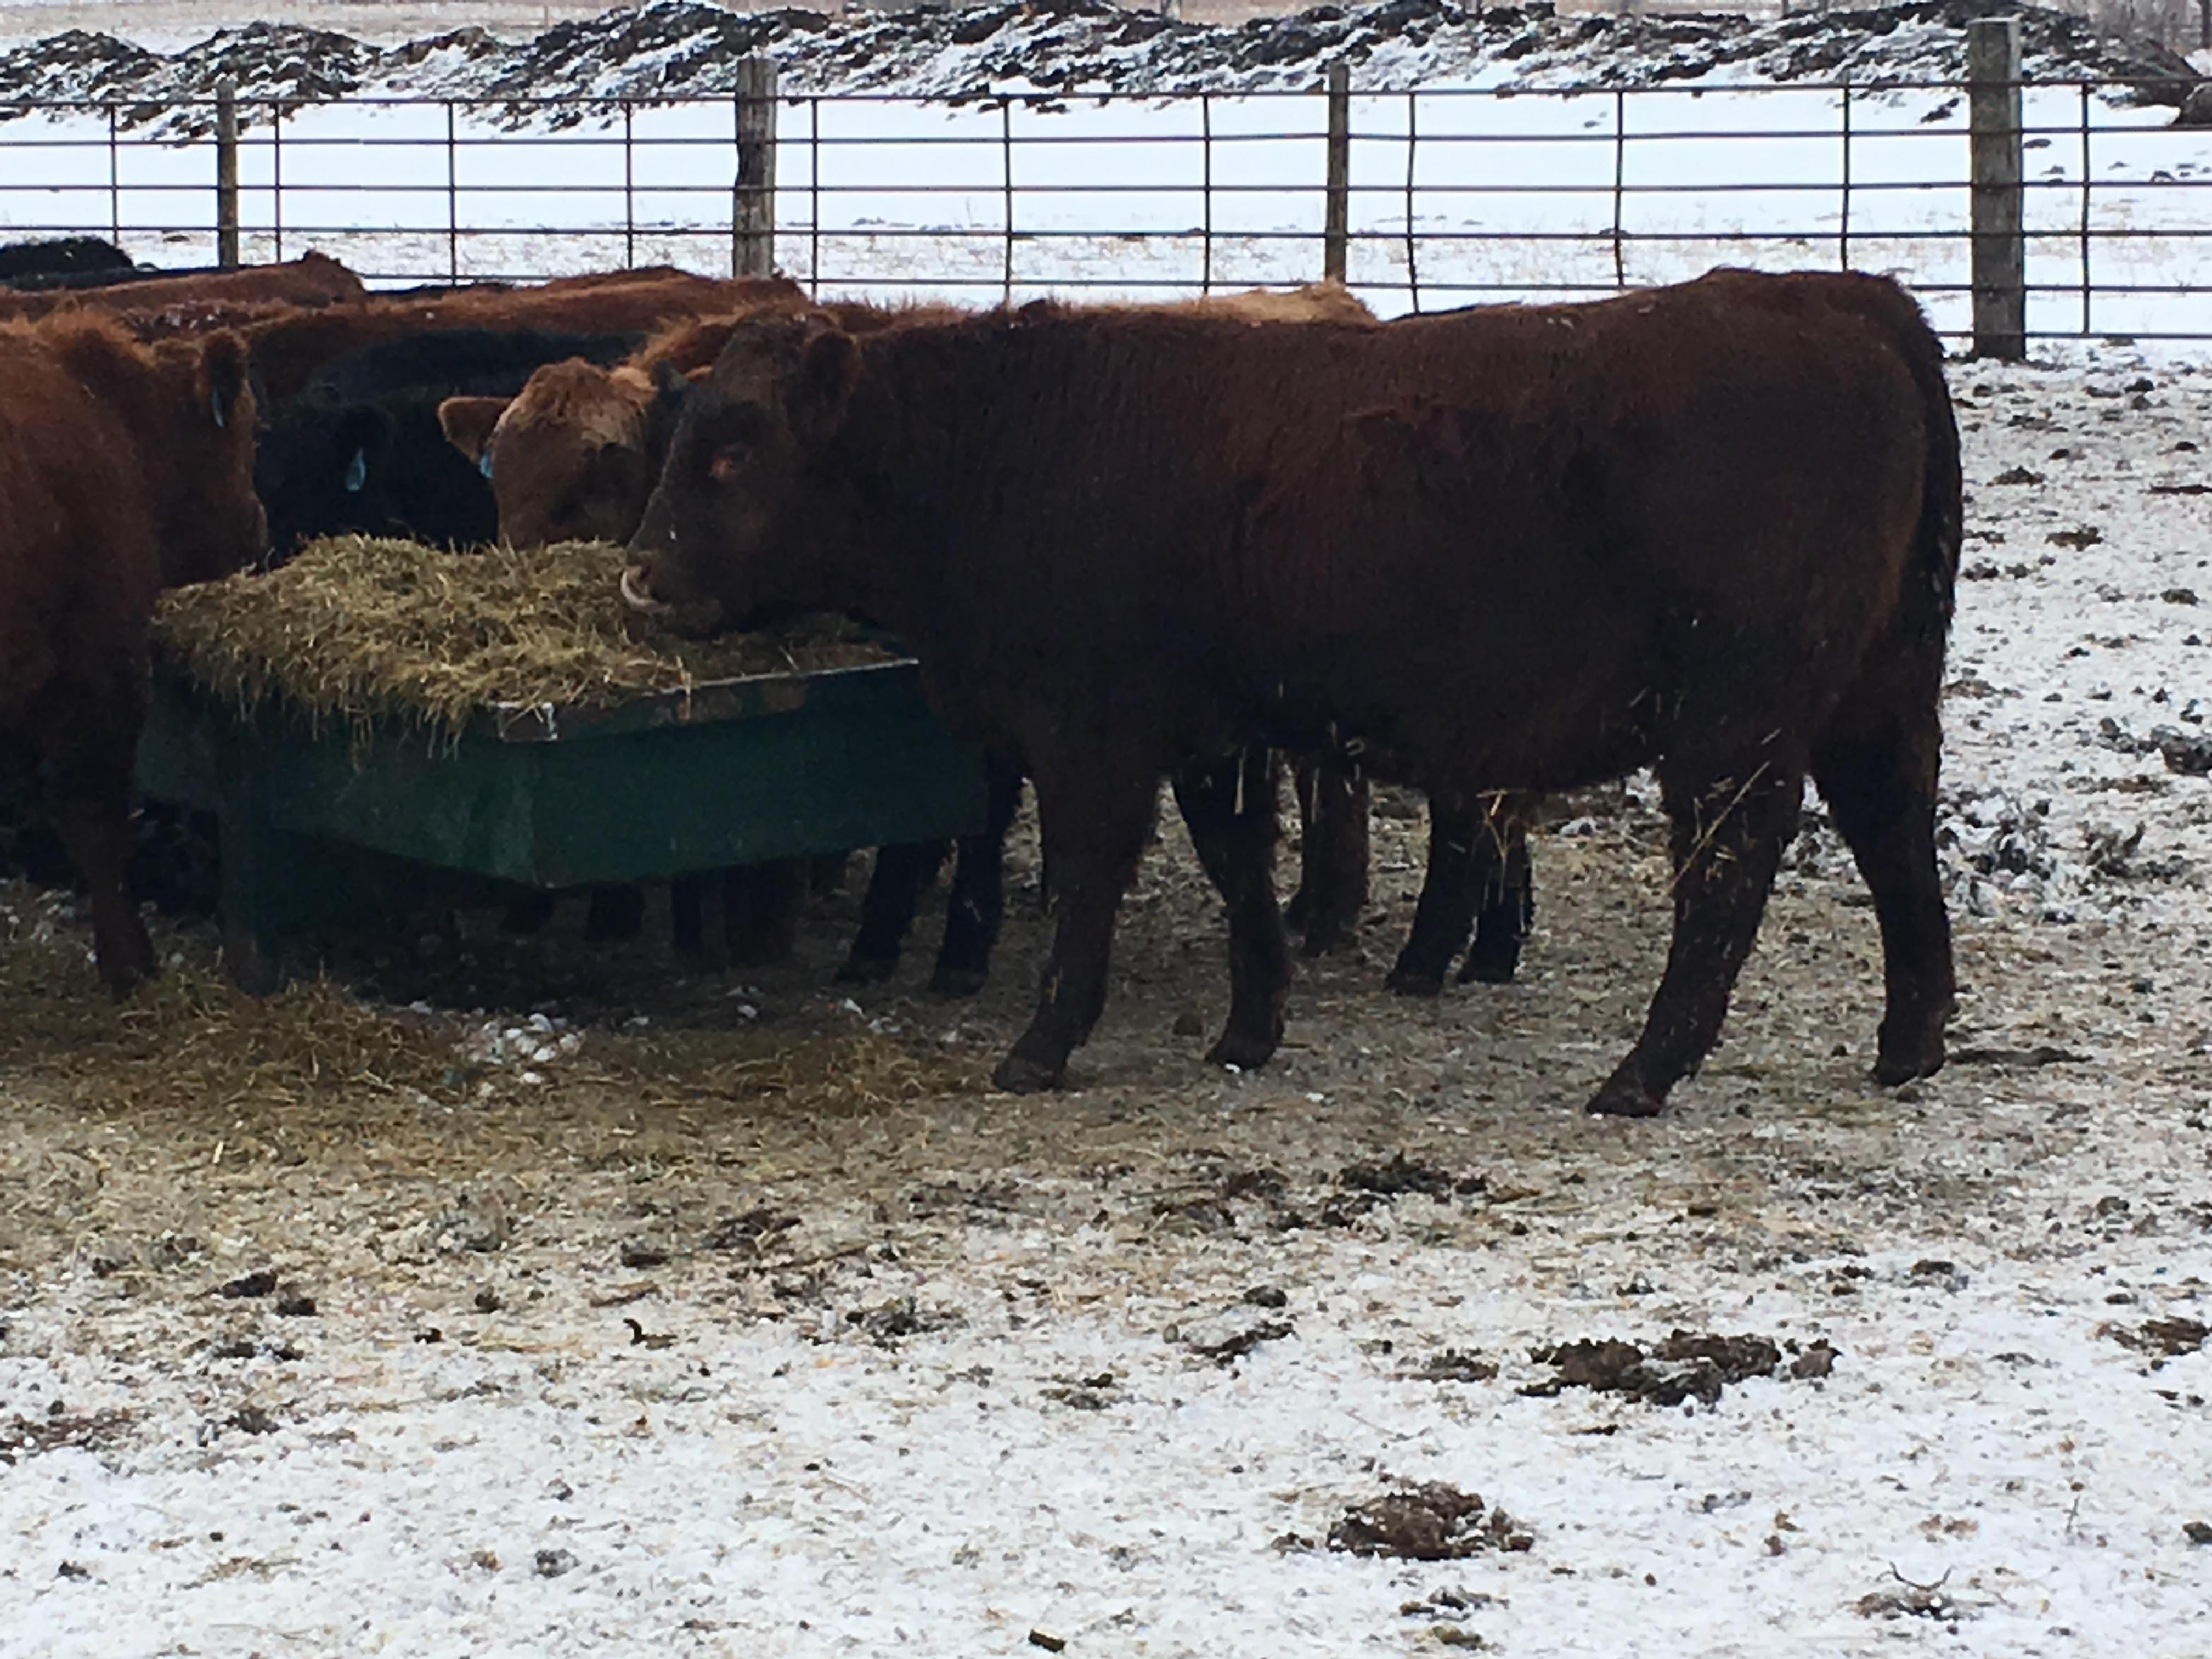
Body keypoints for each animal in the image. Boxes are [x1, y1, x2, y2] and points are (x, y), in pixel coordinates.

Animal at [621, 269, 1962, 1116]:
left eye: (733, 451)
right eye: (680, 441)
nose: (640, 576)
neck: (1007, 444)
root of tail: (1844, 297)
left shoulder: (1092, 732)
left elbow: (1095, 879)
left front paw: (1043, 1045)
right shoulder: (1209, 724)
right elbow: (1237, 862)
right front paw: (1249, 1026)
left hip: (1734, 720)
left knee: (1729, 874)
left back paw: (1645, 1070)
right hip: (1873, 695)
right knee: (1894, 834)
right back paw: (1909, 1041)